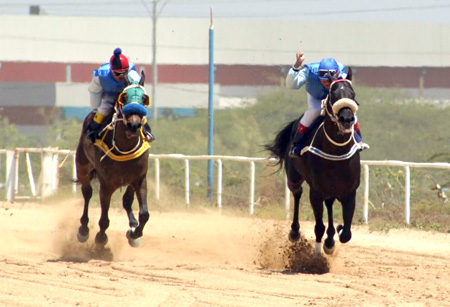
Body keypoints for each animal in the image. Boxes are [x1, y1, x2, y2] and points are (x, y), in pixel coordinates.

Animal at [74, 71, 151, 248]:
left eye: (144, 98)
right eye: (125, 97)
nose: (133, 125)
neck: (124, 148)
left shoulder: (139, 179)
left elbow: (144, 213)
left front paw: (135, 232)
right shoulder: (106, 183)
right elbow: (104, 219)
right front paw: (101, 238)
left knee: (127, 201)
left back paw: (133, 227)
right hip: (82, 166)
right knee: (87, 192)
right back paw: (83, 229)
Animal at [266, 69, 364, 255]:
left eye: (353, 94)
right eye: (333, 95)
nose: (347, 119)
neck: (335, 152)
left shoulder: (350, 193)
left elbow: (346, 233)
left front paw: (336, 232)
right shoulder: (316, 192)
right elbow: (319, 226)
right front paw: (318, 251)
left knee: (330, 204)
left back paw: (331, 237)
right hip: (294, 177)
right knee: (297, 193)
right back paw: (295, 232)